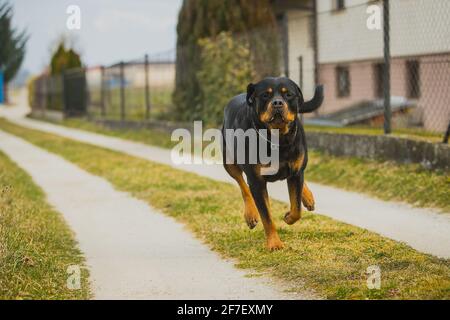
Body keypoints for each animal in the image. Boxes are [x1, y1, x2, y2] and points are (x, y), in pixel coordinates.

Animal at [222, 77, 324, 250]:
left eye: (288, 94)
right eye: (265, 95)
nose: (277, 103)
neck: (277, 138)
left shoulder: (296, 172)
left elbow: (296, 208)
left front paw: (289, 216)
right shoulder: (257, 180)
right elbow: (266, 216)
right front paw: (274, 244)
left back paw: (308, 198)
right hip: (229, 161)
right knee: (242, 185)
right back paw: (250, 215)